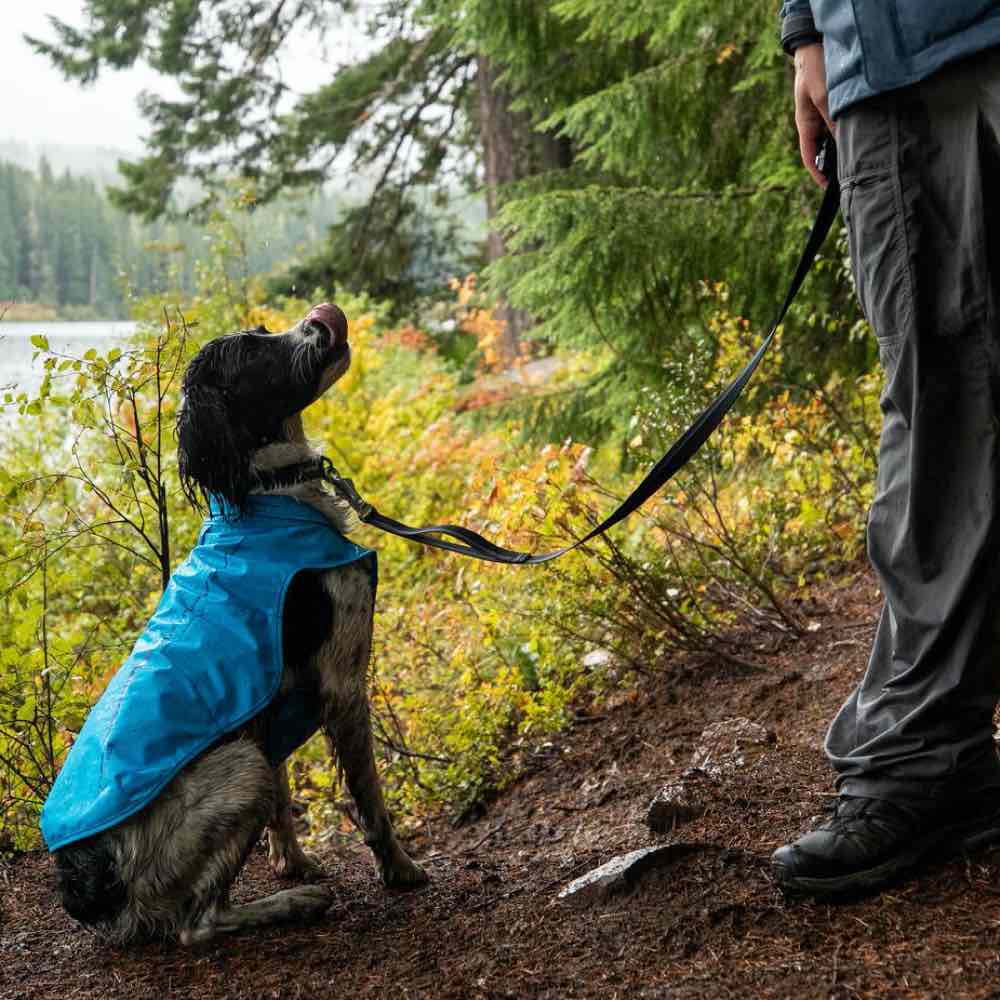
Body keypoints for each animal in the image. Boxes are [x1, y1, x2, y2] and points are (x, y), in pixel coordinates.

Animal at [40, 304, 426, 944]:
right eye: (251, 354)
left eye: (265, 334)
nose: (322, 319)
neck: (269, 495)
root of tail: (86, 891)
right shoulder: (343, 683)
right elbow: (370, 799)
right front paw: (399, 869)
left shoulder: (266, 705)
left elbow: (286, 800)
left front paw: (291, 860)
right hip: (241, 773)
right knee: (197, 925)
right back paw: (295, 903)